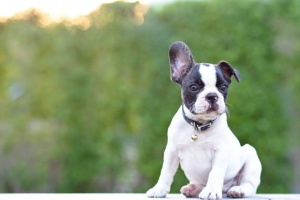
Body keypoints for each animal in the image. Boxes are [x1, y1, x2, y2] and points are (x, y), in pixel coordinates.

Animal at [146, 41, 262, 199]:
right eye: (194, 87)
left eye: (223, 87)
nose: (212, 96)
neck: (198, 125)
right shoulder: (171, 151)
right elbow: (166, 172)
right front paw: (159, 189)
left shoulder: (220, 151)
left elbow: (215, 173)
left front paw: (211, 190)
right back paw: (193, 189)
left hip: (251, 155)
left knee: (249, 184)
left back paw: (238, 190)